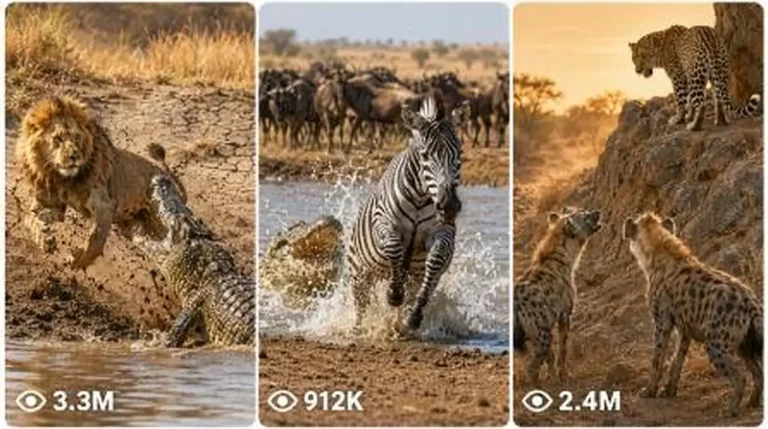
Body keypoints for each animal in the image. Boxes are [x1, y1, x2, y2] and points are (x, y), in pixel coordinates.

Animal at [15, 96, 186, 269]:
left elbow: (95, 239)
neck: (62, 178)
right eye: (58, 139)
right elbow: (29, 217)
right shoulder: (53, 204)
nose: (74, 156)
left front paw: (78, 260)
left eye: (77, 138)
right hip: (131, 225)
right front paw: (44, 239)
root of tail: (165, 171)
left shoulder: (103, 205)